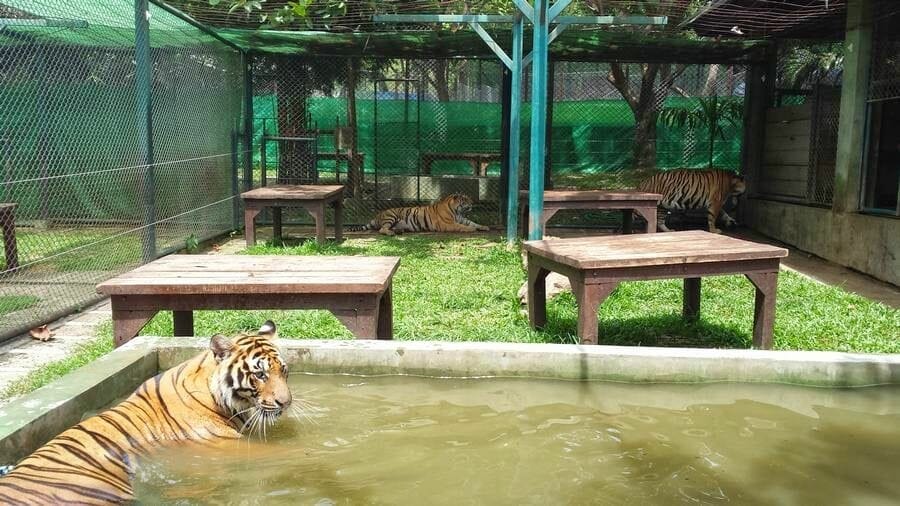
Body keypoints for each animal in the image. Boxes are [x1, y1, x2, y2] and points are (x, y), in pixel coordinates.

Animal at [353, 193, 490, 235]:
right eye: (465, 200)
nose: (472, 204)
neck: (456, 211)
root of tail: (377, 216)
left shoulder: (461, 219)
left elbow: (474, 222)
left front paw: (484, 227)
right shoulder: (448, 224)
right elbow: (462, 226)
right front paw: (471, 229)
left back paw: (399, 231)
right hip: (391, 216)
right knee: (382, 229)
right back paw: (391, 233)